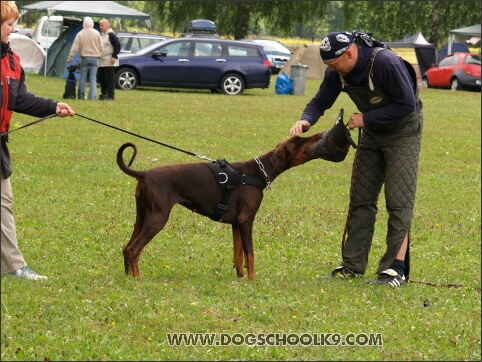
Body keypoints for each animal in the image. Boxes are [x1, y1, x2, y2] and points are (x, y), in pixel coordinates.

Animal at [116, 110, 350, 280]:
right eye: (301, 140)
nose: (320, 134)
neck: (257, 172)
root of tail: (144, 174)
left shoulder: (236, 223)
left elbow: (239, 255)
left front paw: (240, 277)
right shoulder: (246, 219)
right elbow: (251, 254)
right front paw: (253, 280)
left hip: (142, 216)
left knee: (126, 247)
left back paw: (129, 278)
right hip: (158, 217)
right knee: (134, 249)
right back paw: (138, 279)